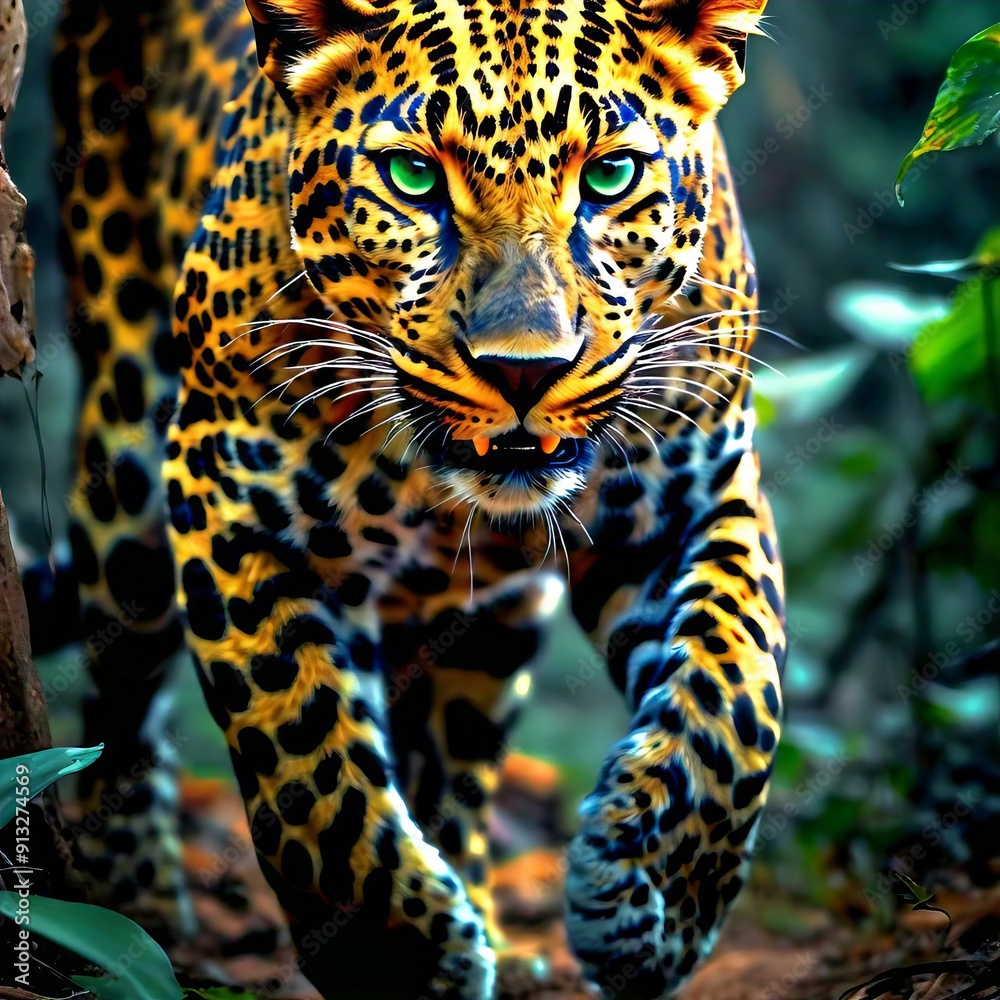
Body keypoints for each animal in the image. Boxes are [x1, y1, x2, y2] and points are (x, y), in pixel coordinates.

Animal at [48, 0, 784, 996]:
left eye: (611, 175)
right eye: (412, 176)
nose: (525, 371)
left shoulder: (695, 492)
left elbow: (737, 698)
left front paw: (655, 908)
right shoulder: (228, 493)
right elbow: (303, 751)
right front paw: (397, 956)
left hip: (495, 622)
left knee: (459, 756)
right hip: (125, 471)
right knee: (120, 694)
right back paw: (131, 901)